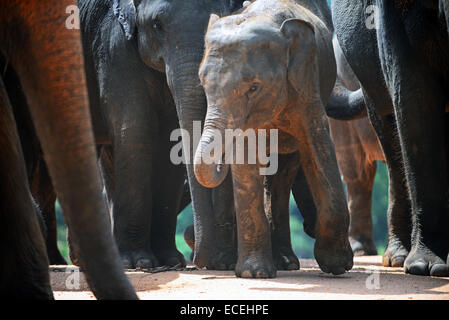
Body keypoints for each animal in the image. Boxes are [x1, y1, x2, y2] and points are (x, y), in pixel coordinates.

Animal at [78, 0, 245, 270]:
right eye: (157, 25)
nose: (199, 260)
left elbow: (171, 141)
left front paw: (170, 260)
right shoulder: (113, 47)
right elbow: (135, 130)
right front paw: (139, 262)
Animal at [194, 0, 352, 278]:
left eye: (254, 87)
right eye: (203, 84)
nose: (220, 162)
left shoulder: (306, 84)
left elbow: (317, 146)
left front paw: (338, 266)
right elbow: (245, 160)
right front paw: (254, 274)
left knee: (283, 175)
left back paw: (285, 263)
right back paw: (225, 264)